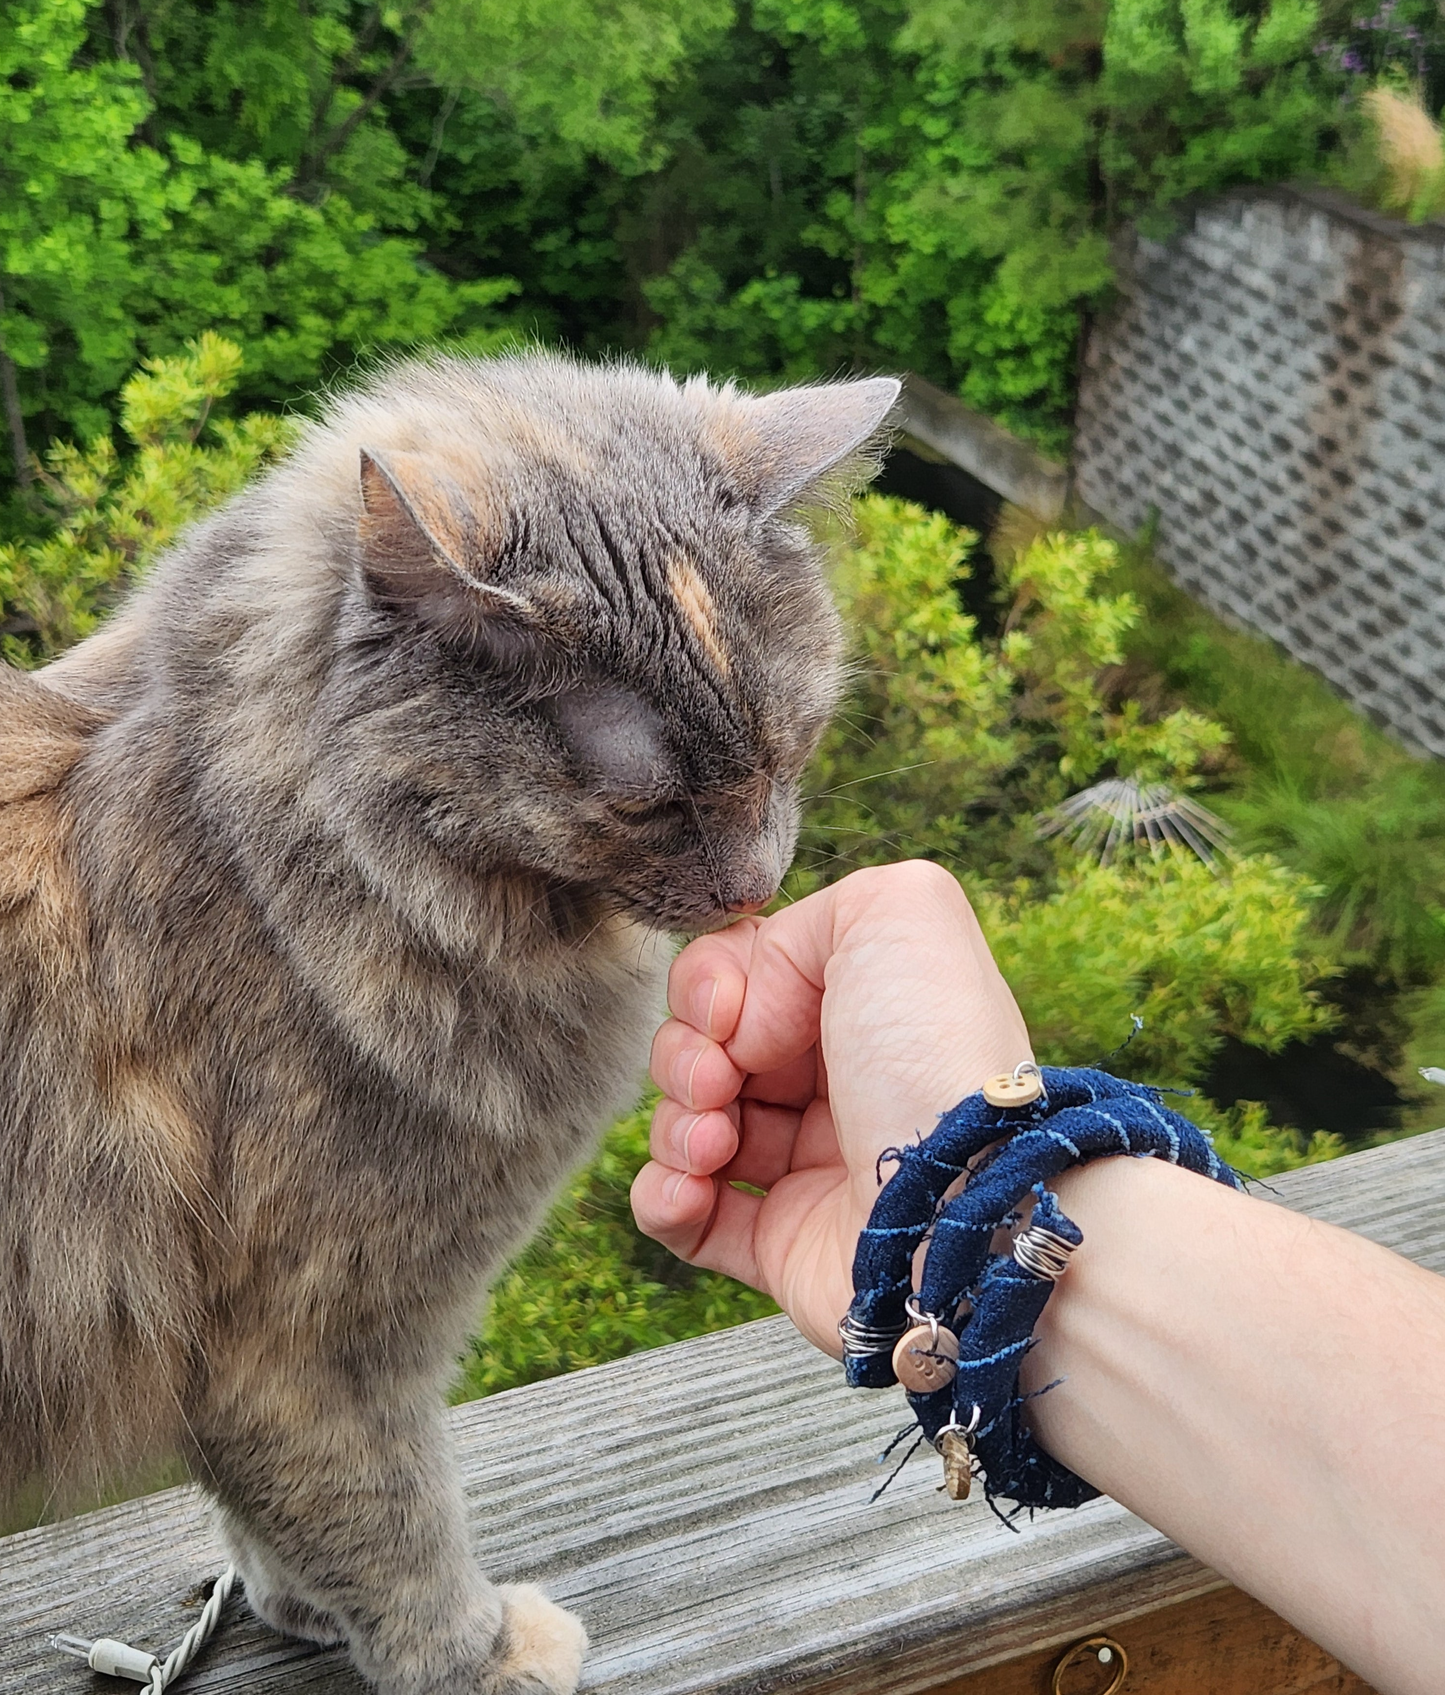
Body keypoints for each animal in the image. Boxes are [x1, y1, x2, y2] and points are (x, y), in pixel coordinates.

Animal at [0, 354, 894, 1695]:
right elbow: (391, 1518)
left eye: (786, 750)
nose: (754, 888)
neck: (270, 874)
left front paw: (294, 1609)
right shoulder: (316, 1339)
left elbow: (272, 1514)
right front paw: (475, 1655)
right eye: (649, 806)